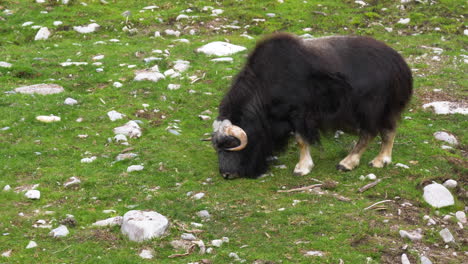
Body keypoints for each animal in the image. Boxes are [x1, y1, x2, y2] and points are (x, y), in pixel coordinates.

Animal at [210, 32, 412, 178]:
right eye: (217, 147)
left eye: (231, 144)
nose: (226, 174)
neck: (265, 85)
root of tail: (398, 63)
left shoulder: (300, 114)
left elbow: (301, 140)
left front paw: (302, 168)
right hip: (386, 109)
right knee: (389, 130)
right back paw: (381, 160)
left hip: (369, 108)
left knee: (369, 133)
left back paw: (346, 163)